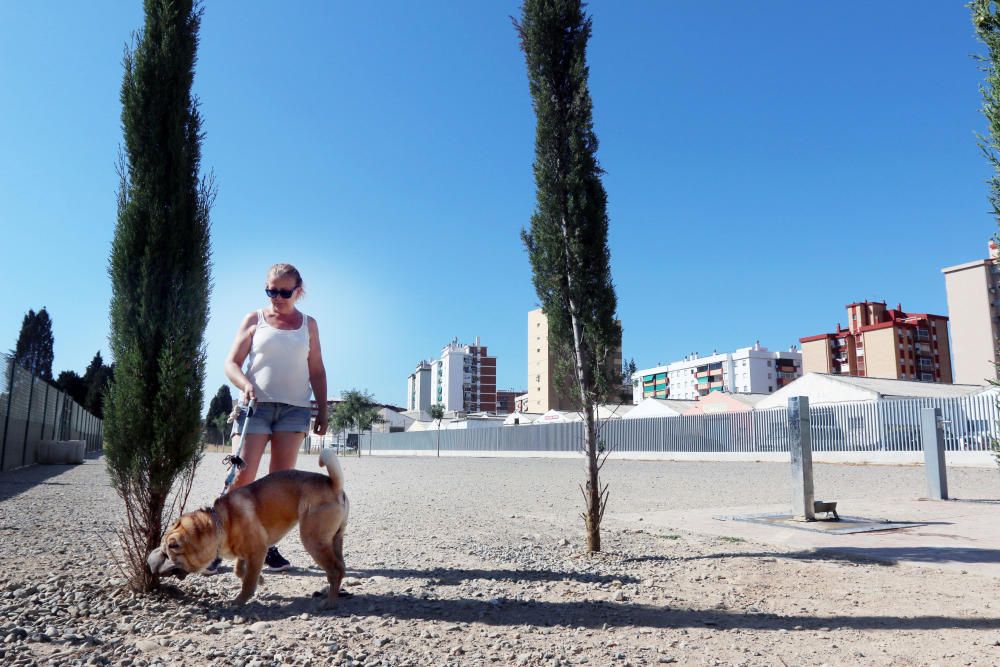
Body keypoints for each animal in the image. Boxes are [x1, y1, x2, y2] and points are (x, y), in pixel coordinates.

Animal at [146, 446, 350, 608]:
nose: (149, 561)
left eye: (169, 551)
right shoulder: (246, 555)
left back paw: (330, 602)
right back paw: (331, 594)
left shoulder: (258, 551)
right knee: (341, 567)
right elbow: (240, 571)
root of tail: (334, 484)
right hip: (334, 540)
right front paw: (259, 579)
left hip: (313, 541)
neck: (222, 522)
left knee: (335, 570)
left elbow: (247, 582)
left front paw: (239, 600)